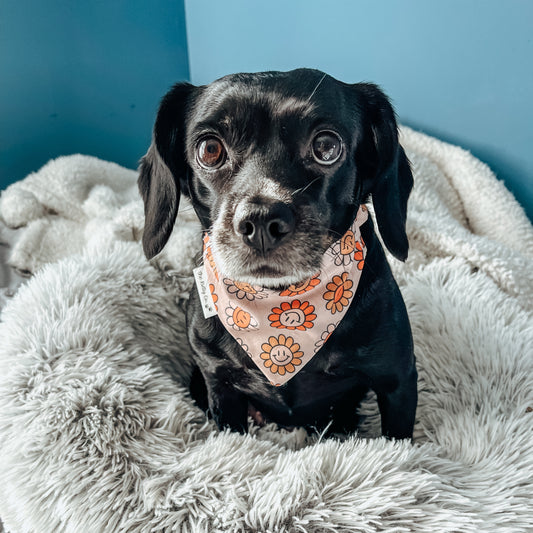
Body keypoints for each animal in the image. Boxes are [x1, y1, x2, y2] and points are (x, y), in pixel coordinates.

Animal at [138, 68, 416, 438]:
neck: (279, 305)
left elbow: (399, 443)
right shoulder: (219, 385)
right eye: (210, 149)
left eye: (326, 146)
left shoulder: (398, 382)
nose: (260, 220)